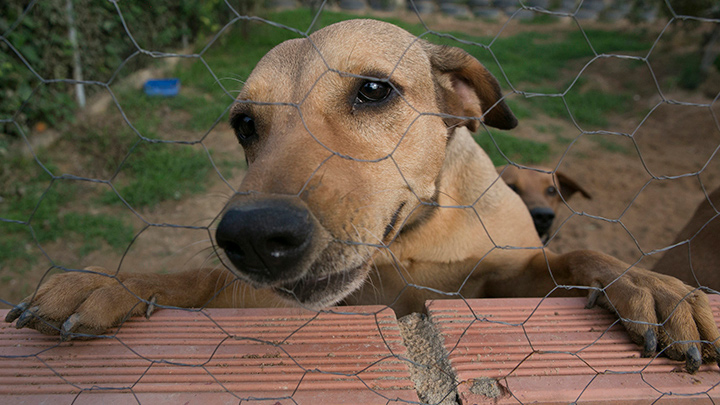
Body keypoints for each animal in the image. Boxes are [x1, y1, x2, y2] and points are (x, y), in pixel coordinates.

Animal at [7, 19, 720, 372]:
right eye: (245, 125)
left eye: (373, 90)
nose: (251, 235)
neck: (411, 239)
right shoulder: (280, 300)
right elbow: (194, 277)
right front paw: (109, 282)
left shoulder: (499, 280)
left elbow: (579, 258)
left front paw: (657, 289)